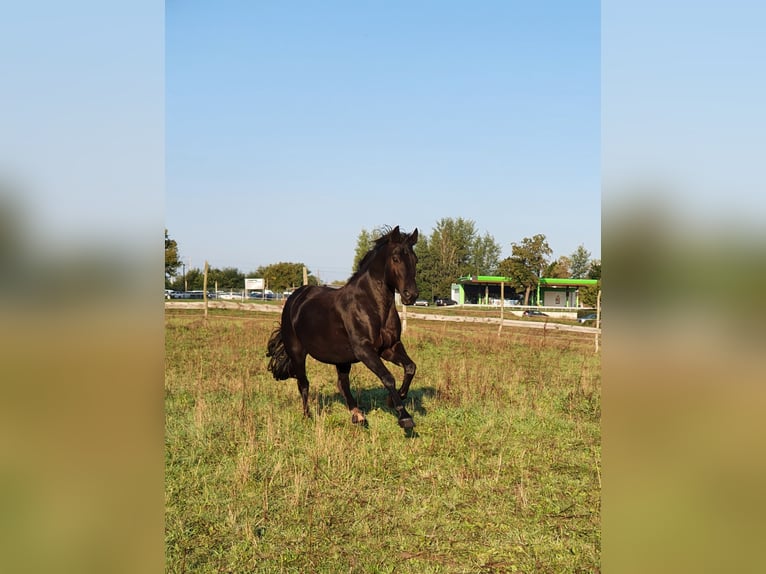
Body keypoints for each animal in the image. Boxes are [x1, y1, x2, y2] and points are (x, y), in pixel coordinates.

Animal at [266, 226, 419, 429]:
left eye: (415, 260)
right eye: (395, 258)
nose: (411, 295)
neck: (371, 305)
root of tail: (295, 297)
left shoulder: (389, 348)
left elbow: (410, 367)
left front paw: (395, 399)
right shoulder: (364, 350)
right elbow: (388, 378)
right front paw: (404, 416)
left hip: (341, 357)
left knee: (342, 384)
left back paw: (358, 415)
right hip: (297, 352)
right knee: (304, 384)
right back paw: (307, 417)